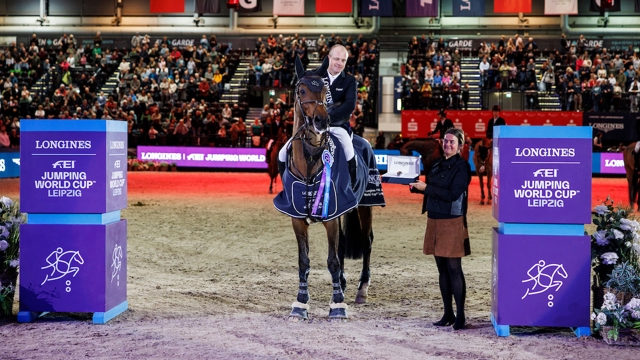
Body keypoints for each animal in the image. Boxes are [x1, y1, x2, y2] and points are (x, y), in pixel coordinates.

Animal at [282, 57, 378, 320]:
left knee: (366, 241)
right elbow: (304, 260)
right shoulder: (296, 218)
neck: (311, 159)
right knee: (344, 242)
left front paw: (337, 305)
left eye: (325, 90)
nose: (322, 122)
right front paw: (300, 303)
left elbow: (332, 260)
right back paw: (343, 284)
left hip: (365, 205)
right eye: (301, 90)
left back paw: (361, 289)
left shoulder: (331, 216)